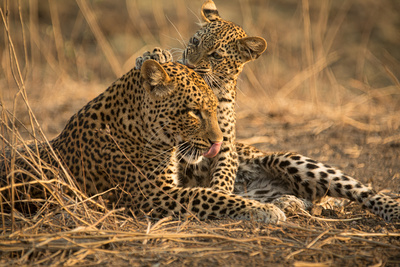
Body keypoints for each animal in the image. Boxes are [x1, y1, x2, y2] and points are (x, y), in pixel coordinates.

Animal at [0, 60, 288, 224]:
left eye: (216, 109)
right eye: (194, 112)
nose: (217, 143)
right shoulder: (152, 194)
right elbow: (207, 195)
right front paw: (264, 210)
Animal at [135, 0, 400, 222]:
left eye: (216, 55)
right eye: (195, 42)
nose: (189, 64)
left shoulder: (226, 146)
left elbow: (222, 177)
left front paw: (218, 191)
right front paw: (153, 55)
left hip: (290, 160)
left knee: (362, 190)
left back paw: (390, 209)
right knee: (303, 200)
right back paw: (287, 202)